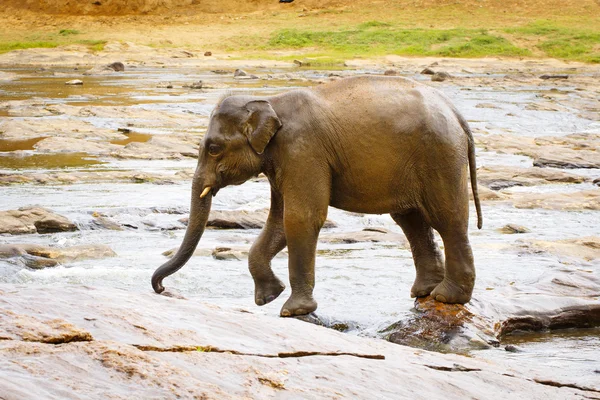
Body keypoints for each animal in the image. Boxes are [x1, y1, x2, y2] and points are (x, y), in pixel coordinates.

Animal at [151, 76, 482, 318]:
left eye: (213, 148)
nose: (162, 289)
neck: (270, 101)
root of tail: (456, 113)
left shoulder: (302, 150)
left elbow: (301, 217)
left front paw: (291, 311)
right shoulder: (283, 161)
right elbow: (279, 222)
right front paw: (268, 297)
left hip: (439, 155)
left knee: (447, 218)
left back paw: (447, 297)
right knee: (411, 220)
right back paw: (423, 293)